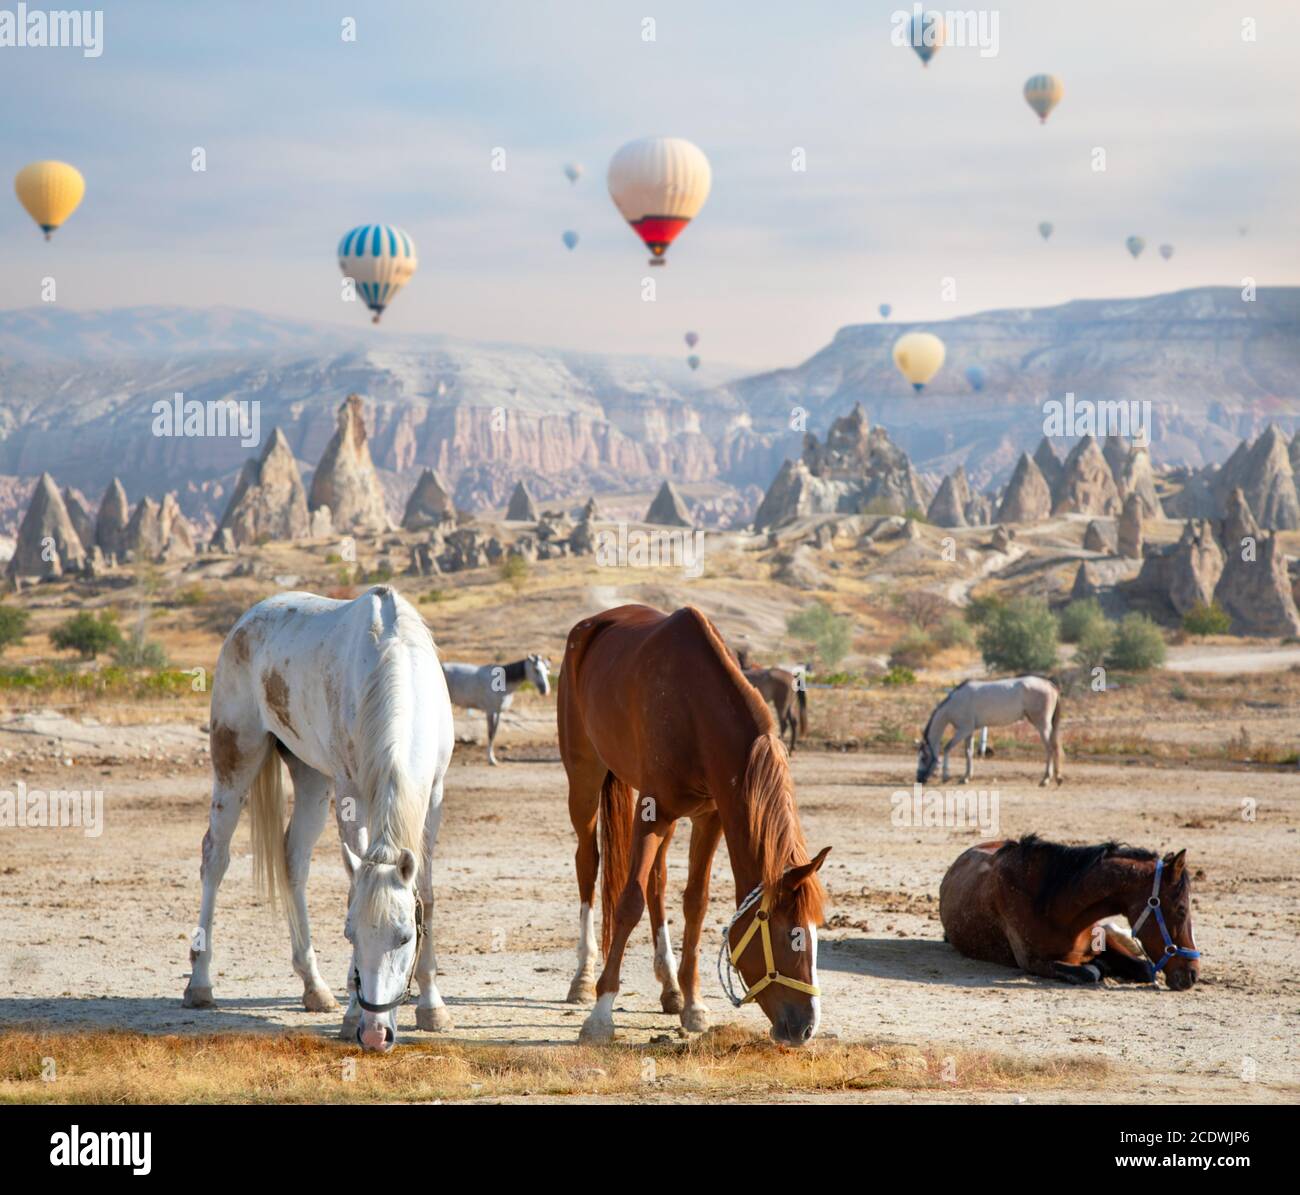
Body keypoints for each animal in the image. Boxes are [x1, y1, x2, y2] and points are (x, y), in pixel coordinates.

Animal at [182, 586, 456, 1051]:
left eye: (405, 936)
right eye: (350, 935)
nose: (375, 1034)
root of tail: (247, 620)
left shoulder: (433, 796)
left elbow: (428, 896)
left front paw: (431, 1006)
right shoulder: (350, 793)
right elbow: (353, 887)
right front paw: (351, 1013)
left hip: (310, 778)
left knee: (293, 860)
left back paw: (314, 987)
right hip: (236, 759)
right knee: (214, 859)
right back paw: (200, 984)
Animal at [559, 604, 830, 1047]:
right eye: (792, 937)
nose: (805, 1027)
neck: (695, 709)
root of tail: (594, 624)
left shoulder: (710, 816)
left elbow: (694, 903)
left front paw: (693, 1003)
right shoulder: (652, 812)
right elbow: (628, 903)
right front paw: (601, 1014)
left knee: (657, 882)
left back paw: (669, 987)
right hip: (584, 778)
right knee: (589, 862)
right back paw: (582, 978)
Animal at [917, 676, 1063, 787]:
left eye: (923, 758)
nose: (919, 779)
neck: (954, 703)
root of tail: (1049, 684)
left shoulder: (963, 730)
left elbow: (947, 748)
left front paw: (946, 776)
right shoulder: (969, 732)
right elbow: (968, 753)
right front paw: (966, 777)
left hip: (1042, 725)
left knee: (1050, 748)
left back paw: (1046, 779)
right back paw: (1057, 778)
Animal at [939, 834, 1200, 989]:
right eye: (1181, 909)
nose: (1193, 974)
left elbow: (1145, 968)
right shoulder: (1034, 962)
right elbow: (1089, 972)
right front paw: (1100, 967)